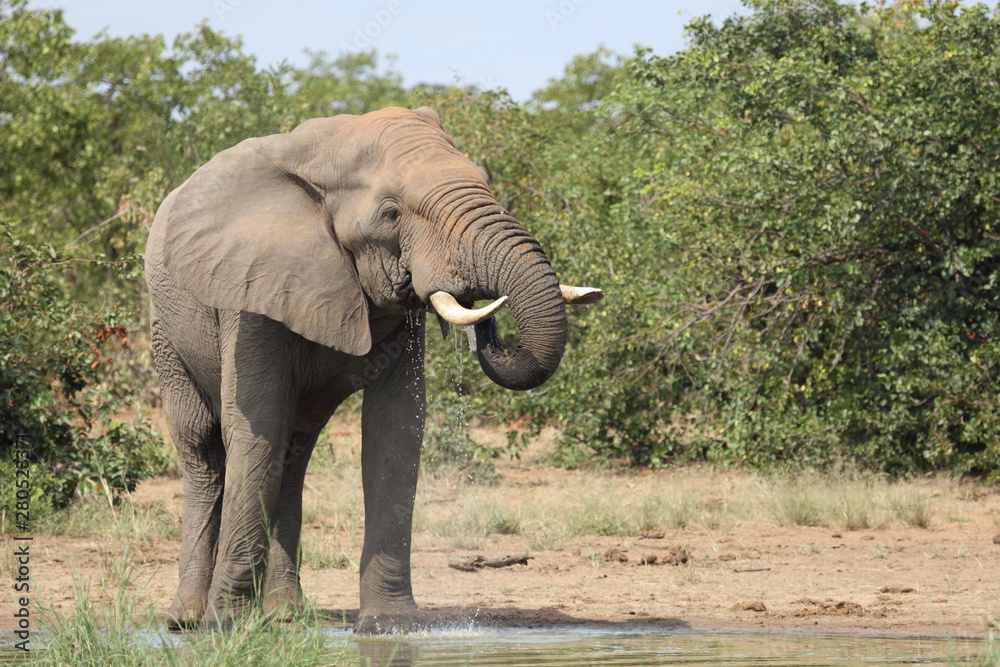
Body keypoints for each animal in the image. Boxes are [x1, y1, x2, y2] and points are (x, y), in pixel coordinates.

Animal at [144, 106, 602, 634]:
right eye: (391, 212)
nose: (478, 301)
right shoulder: (249, 289)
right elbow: (258, 426)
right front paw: (227, 627)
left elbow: (394, 429)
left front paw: (390, 626)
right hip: (165, 330)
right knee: (203, 447)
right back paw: (187, 620)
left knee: (294, 449)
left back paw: (285, 617)